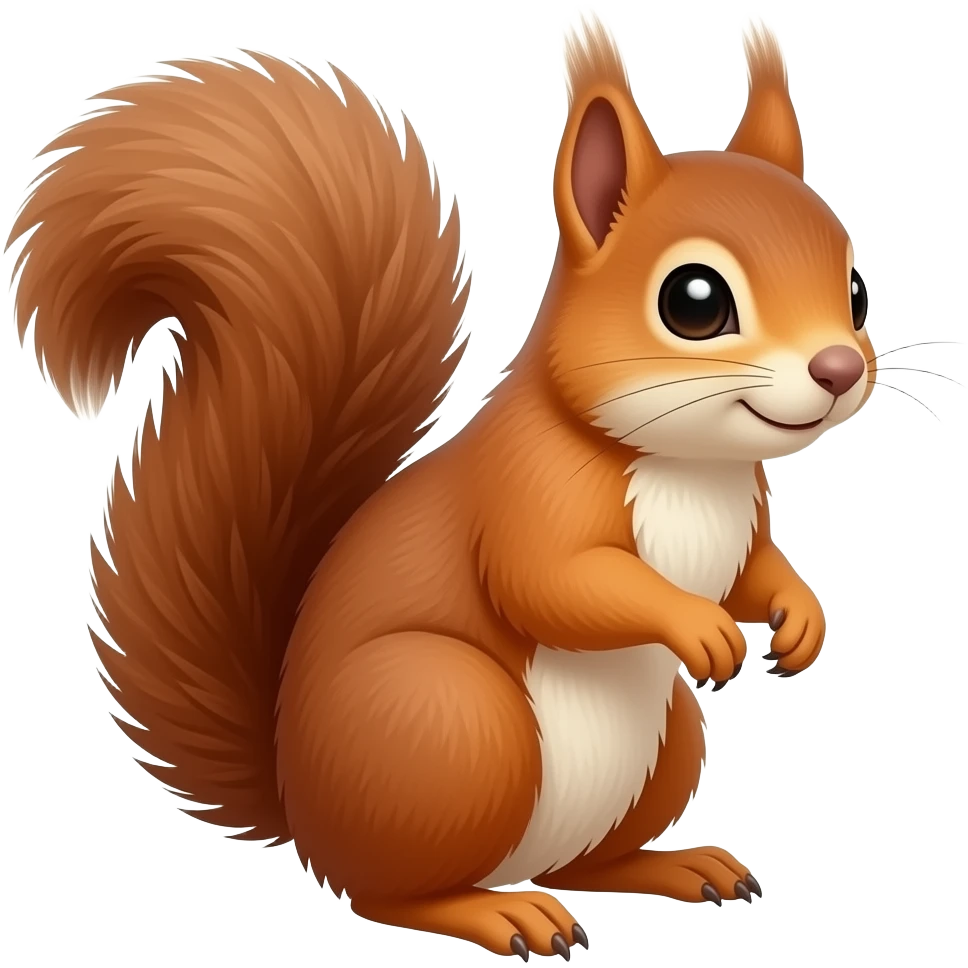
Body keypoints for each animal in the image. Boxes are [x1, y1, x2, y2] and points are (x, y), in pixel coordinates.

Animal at [7, 9, 875, 961]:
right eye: (694, 301)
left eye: (858, 290)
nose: (841, 369)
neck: (689, 467)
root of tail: (302, 809)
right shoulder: (528, 494)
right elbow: (557, 583)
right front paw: (698, 625)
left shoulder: (742, 519)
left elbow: (756, 569)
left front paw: (802, 618)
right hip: (451, 722)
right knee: (392, 892)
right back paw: (498, 913)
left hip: (663, 740)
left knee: (589, 862)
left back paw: (674, 866)